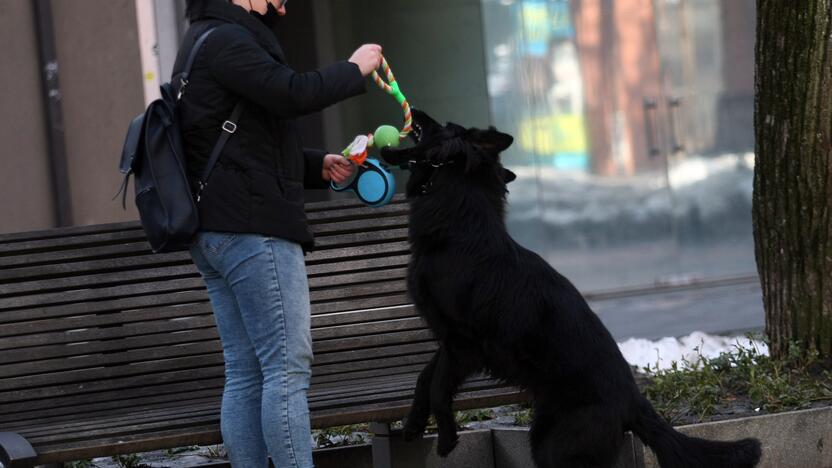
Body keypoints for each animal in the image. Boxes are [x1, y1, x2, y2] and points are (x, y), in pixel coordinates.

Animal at [380, 110, 764, 468]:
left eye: (443, 124)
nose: (415, 109)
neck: (460, 229)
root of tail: (634, 402)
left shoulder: (463, 345)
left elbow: (439, 387)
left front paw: (446, 438)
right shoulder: (447, 340)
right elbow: (423, 379)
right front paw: (413, 425)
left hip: (554, 446)